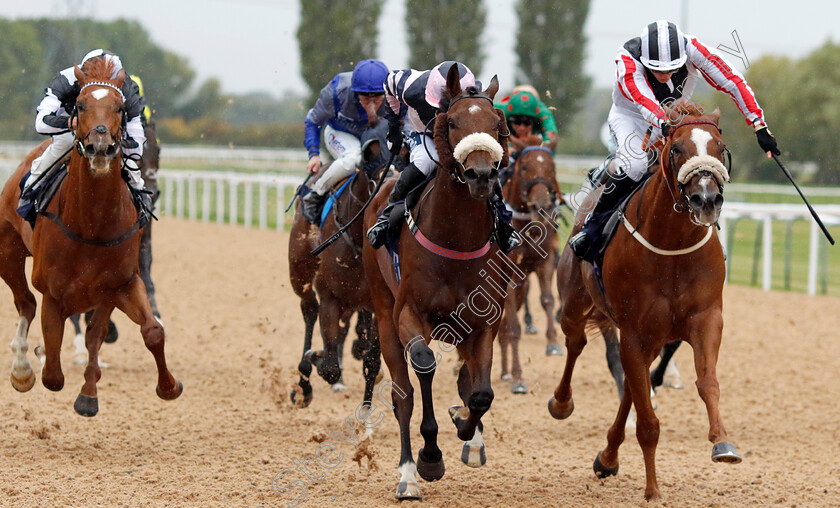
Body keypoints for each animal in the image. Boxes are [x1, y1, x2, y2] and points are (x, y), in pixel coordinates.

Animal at [0, 59, 182, 416]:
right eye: (80, 105)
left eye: (120, 107)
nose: (101, 146)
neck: (92, 224)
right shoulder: (53, 291)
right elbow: (53, 372)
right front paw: (47, 358)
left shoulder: (120, 283)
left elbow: (149, 331)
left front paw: (167, 386)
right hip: (8, 253)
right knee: (26, 303)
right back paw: (22, 369)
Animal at [286, 131, 388, 408]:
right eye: (376, 180)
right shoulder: (331, 295)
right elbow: (328, 366)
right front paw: (315, 357)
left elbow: (372, 362)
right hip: (300, 273)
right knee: (310, 309)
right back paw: (304, 379)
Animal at [362, 64, 512, 500]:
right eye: (455, 121)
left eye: (497, 125)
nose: (481, 174)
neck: (455, 238)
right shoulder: (408, 315)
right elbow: (424, 366)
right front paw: (430, 457)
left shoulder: (484, 323)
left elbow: (480, 392)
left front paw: (464, 424)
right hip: (383, 314)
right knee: (404, 394)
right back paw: (408, 475)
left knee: (466, 382)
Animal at [498, 143, 564, 392]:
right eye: (524, 167)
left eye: (552, 167)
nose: (542, 205)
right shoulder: (507, 274)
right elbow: (513, 328)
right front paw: (518, 378)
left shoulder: (544, 262)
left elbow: (547, 299)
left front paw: (553, 343)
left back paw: (503, 371)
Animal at [552, 104, 740, 500]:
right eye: (677, 149)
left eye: (719, 147)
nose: (706, 200)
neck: (672, 246)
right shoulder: (634, 331)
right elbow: (648, 424)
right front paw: (652, 490)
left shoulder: (705, 319)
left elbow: (707, 382)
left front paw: (723, 442)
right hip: (575, 305)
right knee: (576, 343)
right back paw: (561, 403)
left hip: (651, 337)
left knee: (631, 387)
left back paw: (608, 456)